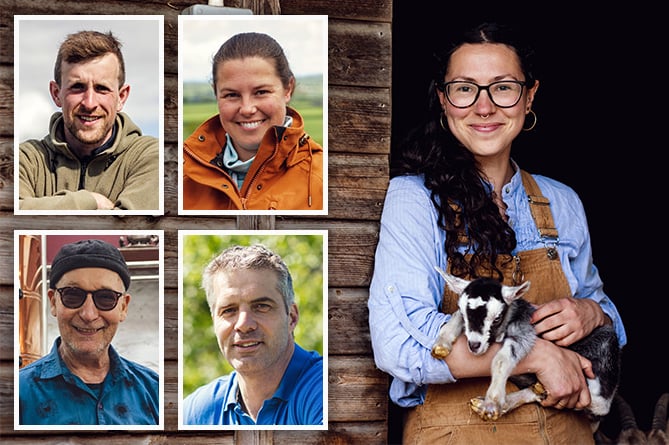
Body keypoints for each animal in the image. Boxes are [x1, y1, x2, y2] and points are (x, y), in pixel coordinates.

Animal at [430, 268, 620, 424]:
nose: (474, 345)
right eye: (464, 314)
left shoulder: (524, 332)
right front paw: (441, 345)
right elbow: (454, 318)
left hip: (605, 350)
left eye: (497, 318)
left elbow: (501, 360)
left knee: (598, 404)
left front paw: (492, 402)